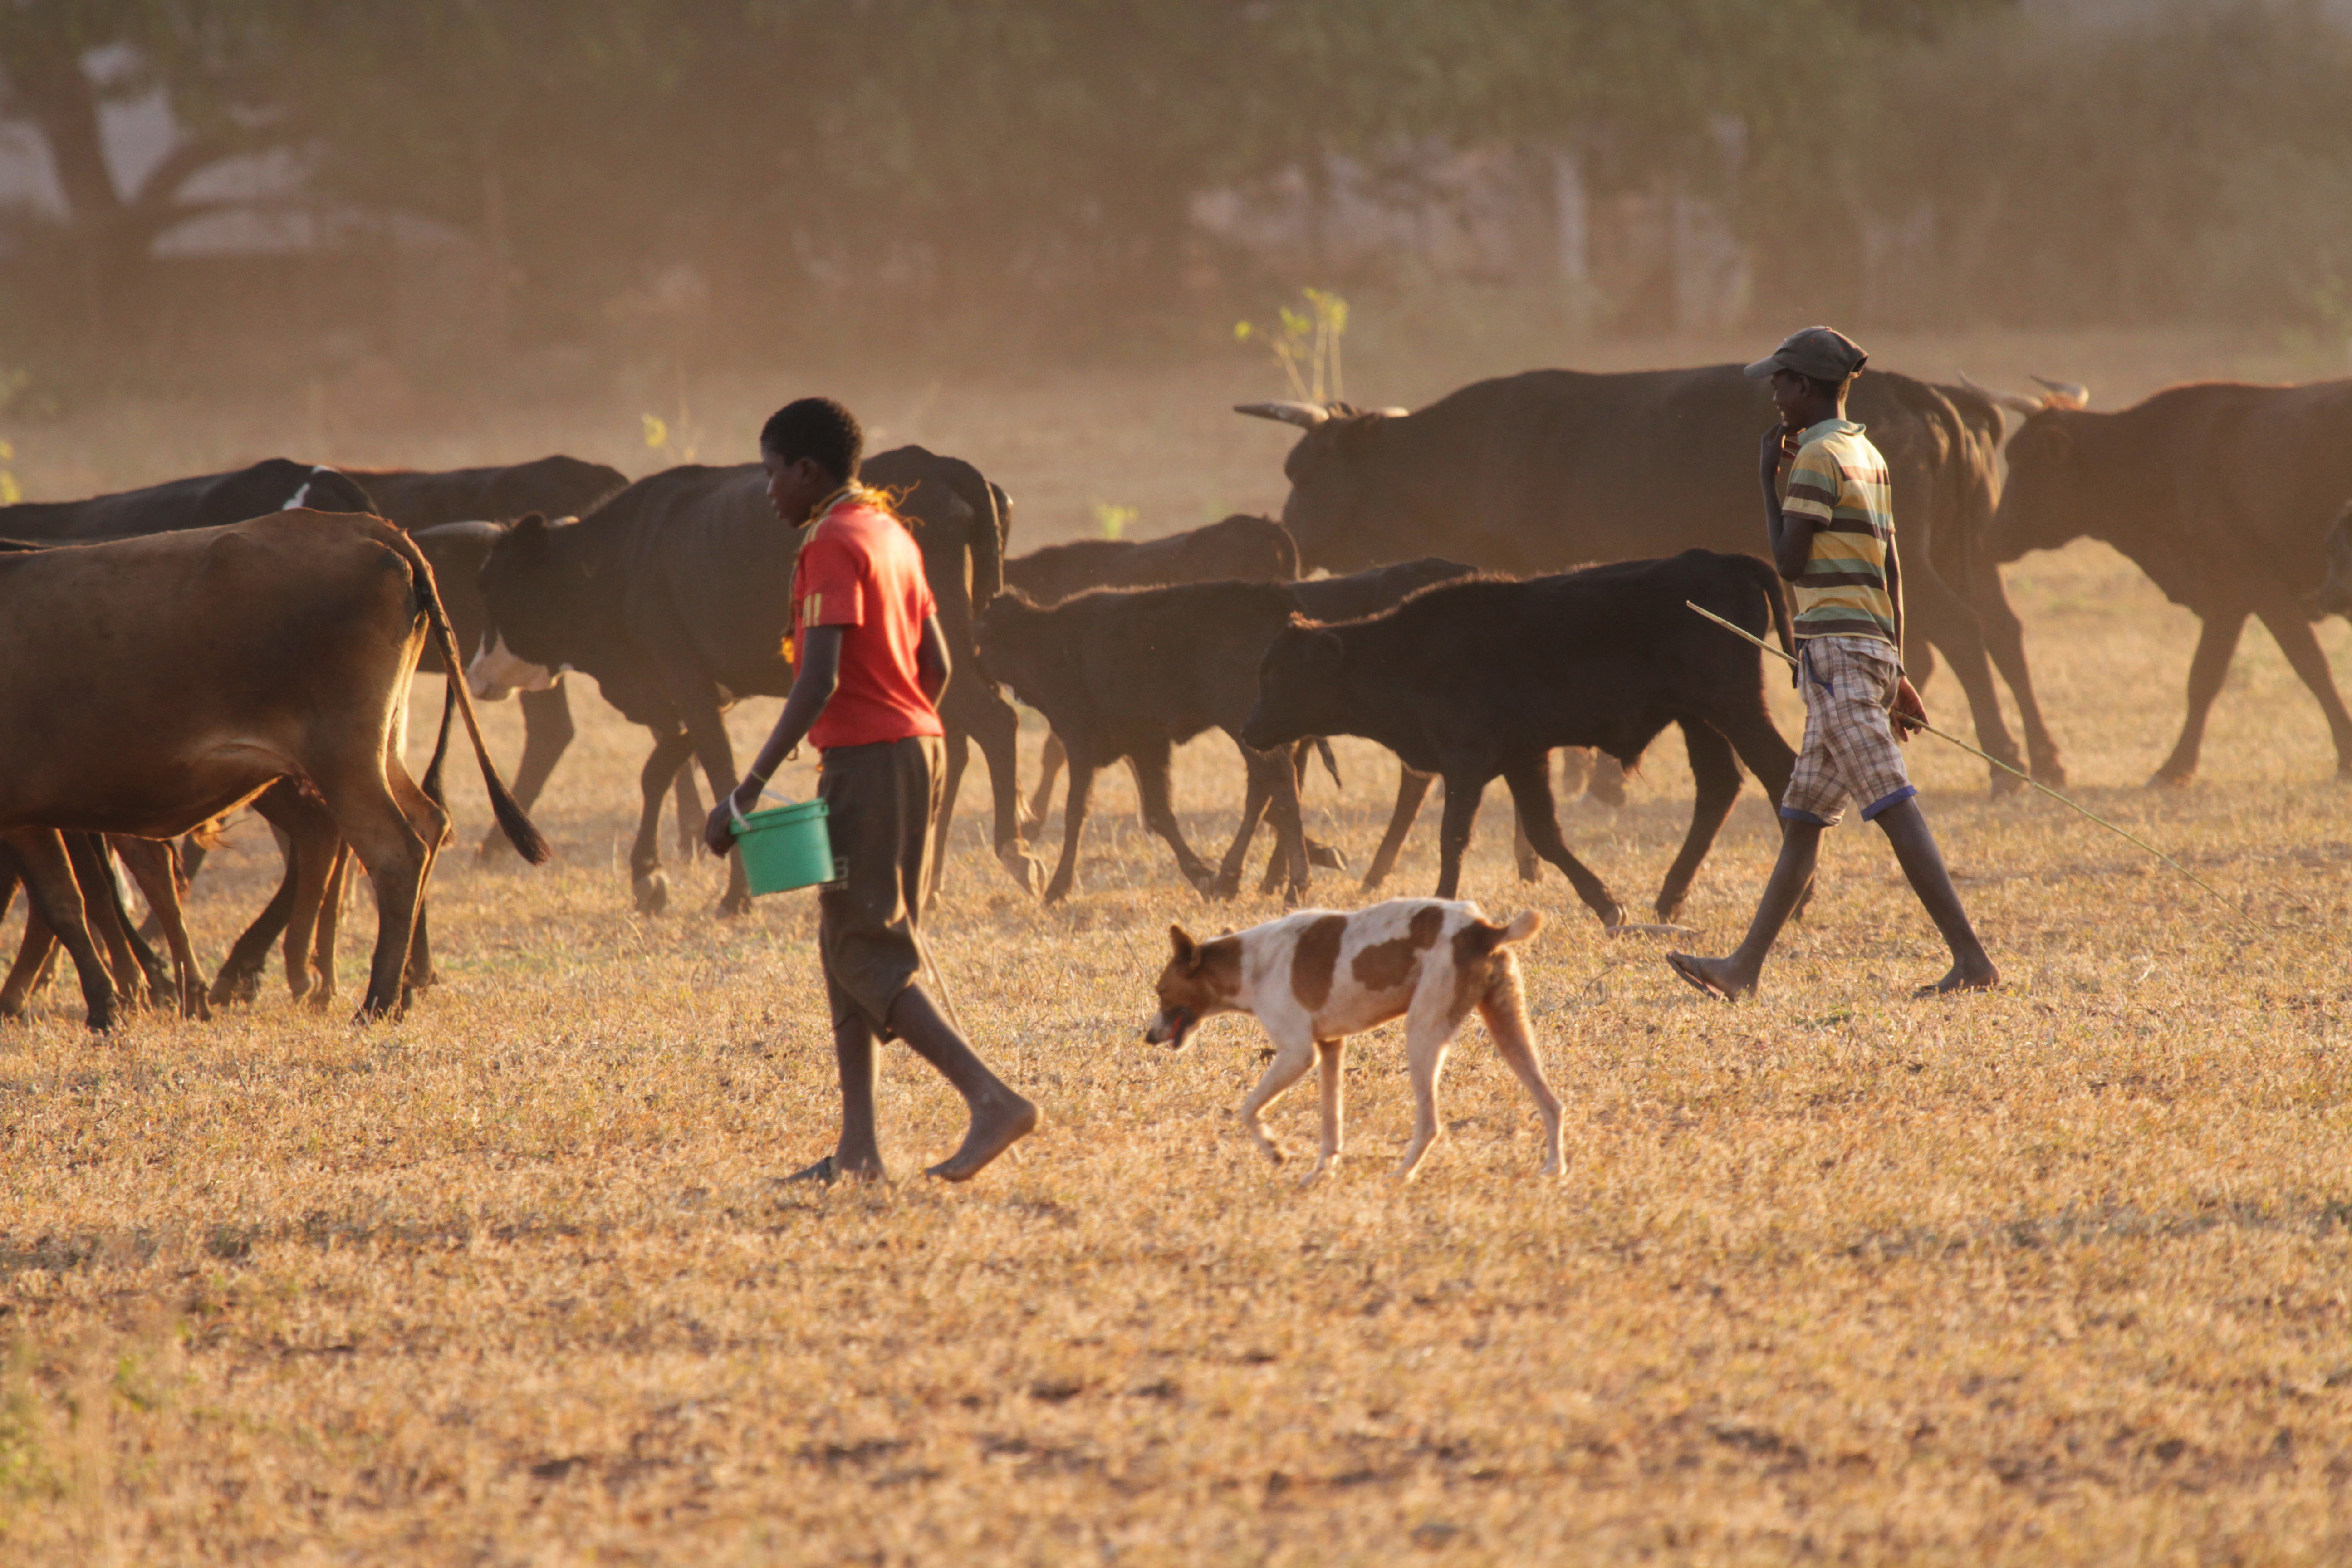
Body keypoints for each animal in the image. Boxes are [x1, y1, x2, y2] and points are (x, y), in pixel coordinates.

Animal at [0, 514, 548, 1029]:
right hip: (380, 750)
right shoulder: (36, 816)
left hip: (343, 761)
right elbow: (65, 902)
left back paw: (374, 1001)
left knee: (392, 852)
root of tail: (360, 526)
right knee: (427, 823)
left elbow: (68, 902)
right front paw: (105, 1006)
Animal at [1143, 902, 1562, 1185]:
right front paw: (1320, 1172)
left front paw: (1275, 1152)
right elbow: (1331, 1124)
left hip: (1422, 1036)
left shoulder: (1298, 1055)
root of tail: (1484, 929)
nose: (1148, 1037)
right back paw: (1555, 1168)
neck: (1249, 964)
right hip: (1509, 1031)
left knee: (1430, 1124)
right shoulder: (1330, 1048)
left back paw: (1402, 1174)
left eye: (1161, 991)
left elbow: (1247, 1109)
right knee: (1552, 1103)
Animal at [1242, 550, 1787, 926]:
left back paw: (1792, 902)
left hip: (1735, 709)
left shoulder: (1467, 764)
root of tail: (1723, 560)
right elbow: (1546, 835)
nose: (1249, 730)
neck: (1404, 653)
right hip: (1700, 721)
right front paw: (1608, 906)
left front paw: (1443, 904)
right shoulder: (1525, 760)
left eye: (1280, 676)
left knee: (1780, 774)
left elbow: (1453, 838)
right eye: (1263, 671)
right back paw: (1670, 899)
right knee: (1719, 788)